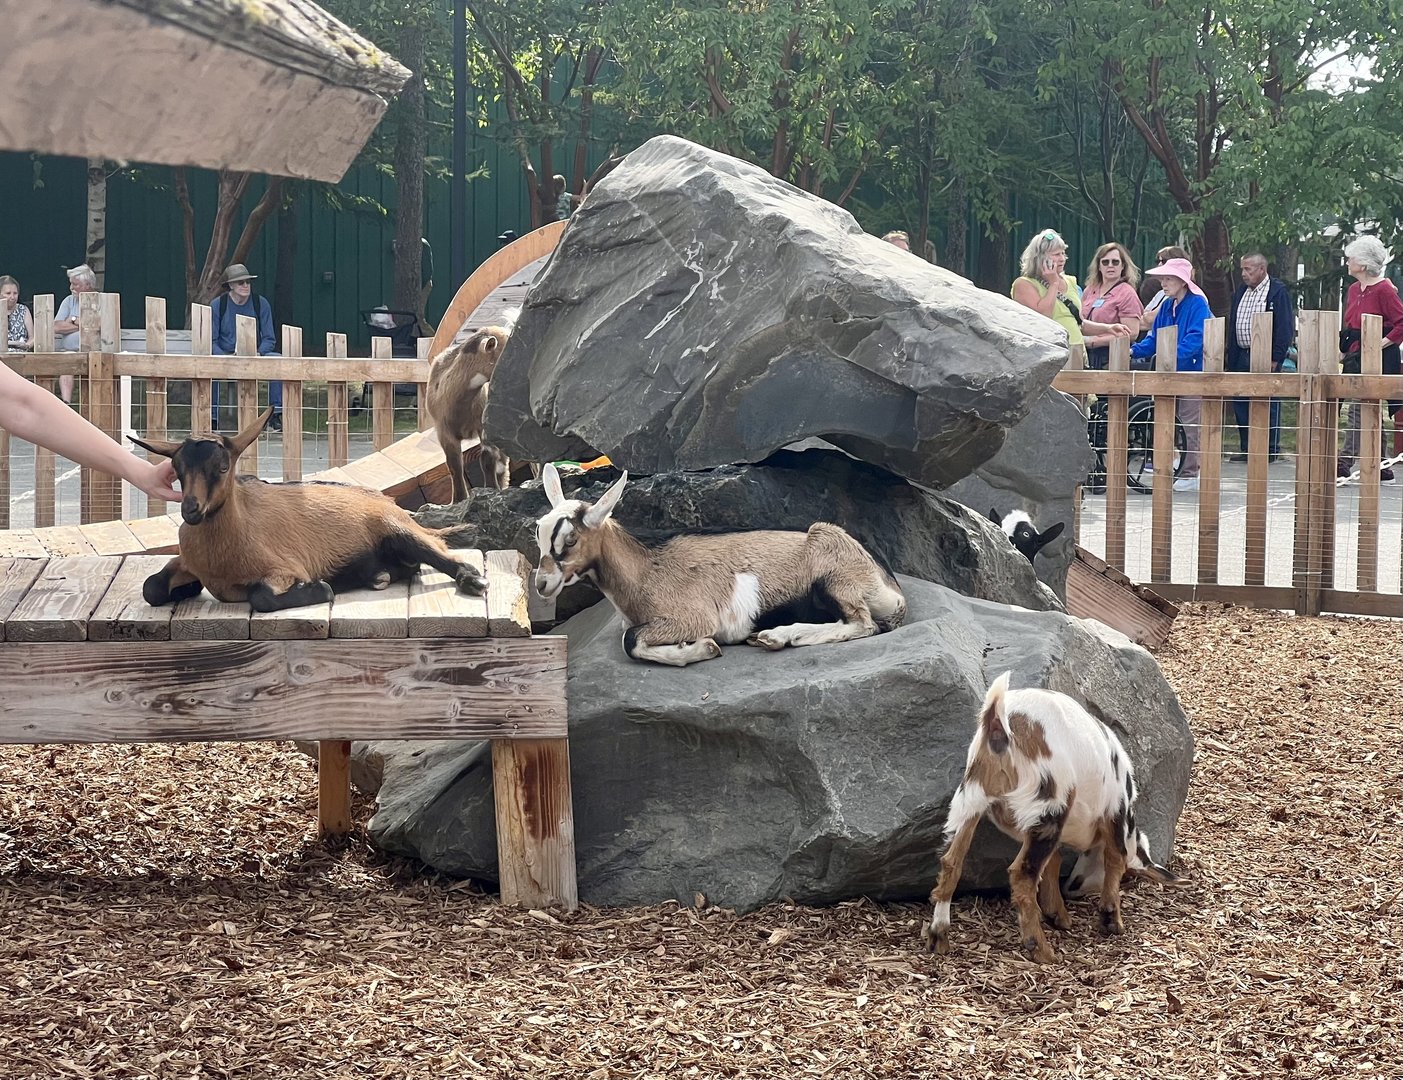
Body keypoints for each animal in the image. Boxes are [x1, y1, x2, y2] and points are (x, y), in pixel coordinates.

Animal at [130, 408, 485, 612]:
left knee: (445, 555)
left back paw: (472, 581)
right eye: (177, 468)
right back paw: (377, 576)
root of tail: (387, 503)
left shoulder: (285, 568)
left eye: (222, 466)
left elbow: (261, 596)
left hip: (398, 530)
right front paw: (184, 589)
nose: (191, 510)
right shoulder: (187, 563)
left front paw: (321, 588)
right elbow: (151, 588)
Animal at [426, 324, 512, 501]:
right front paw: (458, 499)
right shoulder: (443, 432)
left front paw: (491, 489)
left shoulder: (483, 425)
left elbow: (487, 459)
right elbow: (454, 466)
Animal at [533, 463, 907, 666]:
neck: (644, 569)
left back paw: (778, 636)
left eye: (570, 538)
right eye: (539, 529)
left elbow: (631, 641)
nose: (541, 584)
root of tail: (891, 586)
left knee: (862, 624)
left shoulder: (693, 618)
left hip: (834, 575)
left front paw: (700, 649)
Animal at [921, 671, 1179, 963]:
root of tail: (999, 722)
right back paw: (1041, 949)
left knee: (952, 861)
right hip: (1049, 803)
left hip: (972, 798)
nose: (1074, 887)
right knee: (1021, 874)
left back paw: (938, 937)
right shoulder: (1115, 813)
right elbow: (1115, 858)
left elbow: (1054, 862)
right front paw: (1111, 922)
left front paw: (1059, 915)